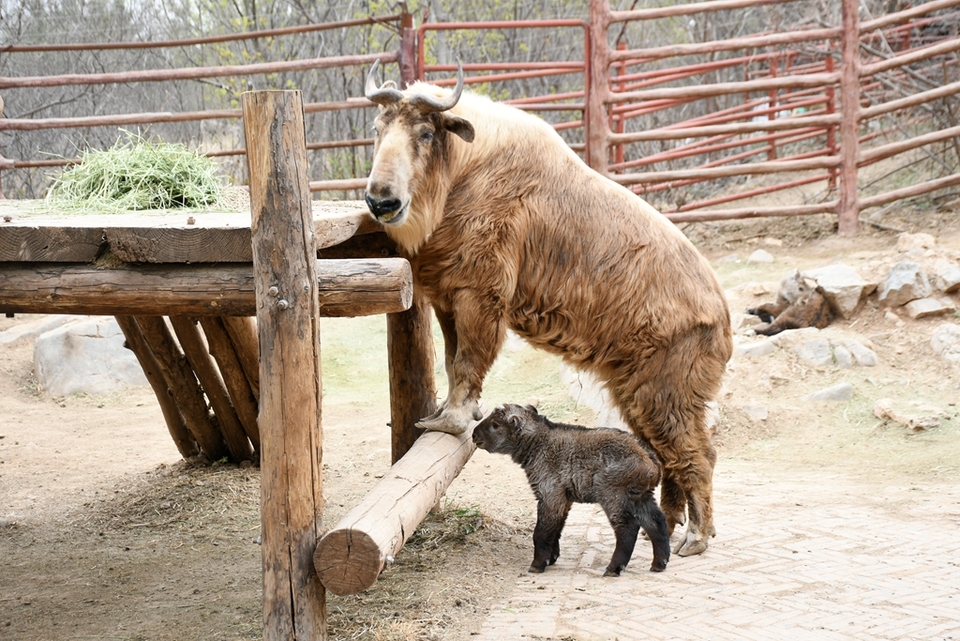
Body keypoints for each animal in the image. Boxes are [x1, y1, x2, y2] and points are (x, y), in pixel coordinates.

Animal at [470, 404, 668, 576]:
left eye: (495, 424)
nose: (473, 435)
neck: (539, 443)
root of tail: (650, 460)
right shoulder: (564, 499)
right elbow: (556, 528)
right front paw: (551, 558)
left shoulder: (550, 495)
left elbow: (541, 531)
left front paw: (537, 564)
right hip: (641, 496)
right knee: (656, 521)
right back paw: (659, 563)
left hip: (612, 494)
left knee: (628, 526)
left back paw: (614, 568)